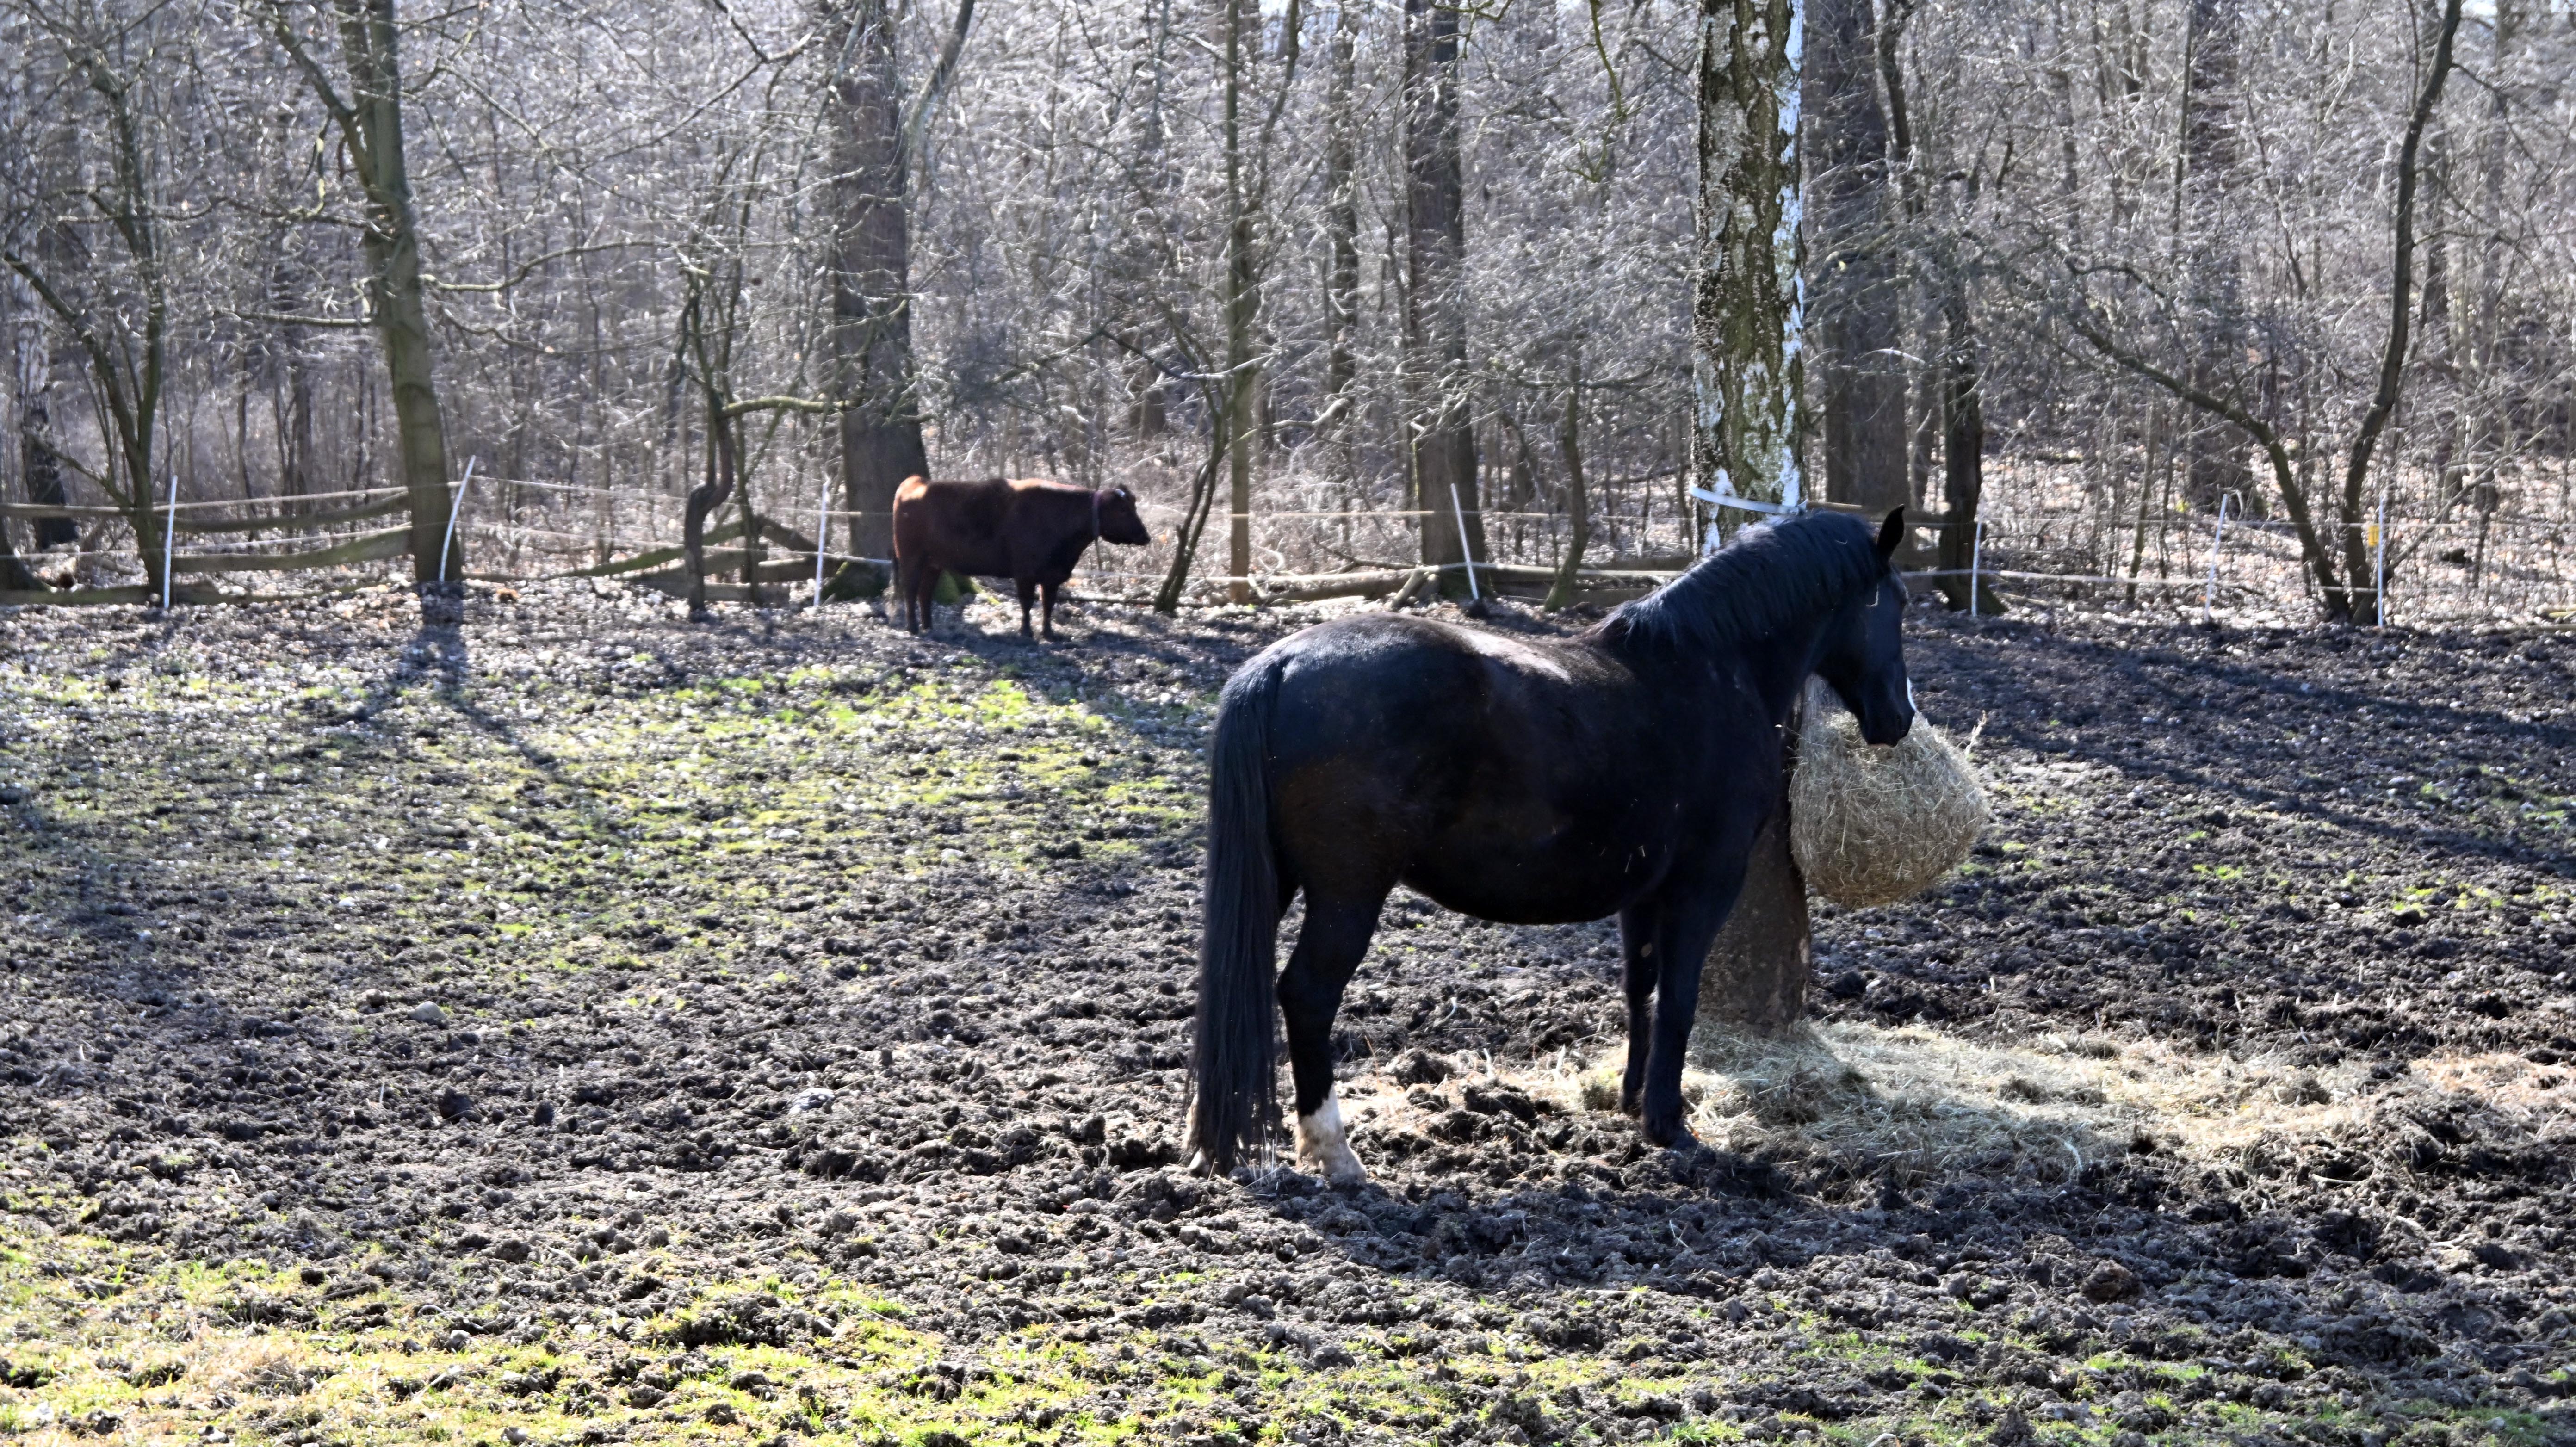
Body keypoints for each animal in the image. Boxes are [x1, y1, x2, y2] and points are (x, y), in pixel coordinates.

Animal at [890, 476, 1152, 640]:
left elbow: (1048, 605)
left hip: (934, 563)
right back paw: (913, 627)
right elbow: (1027, 603)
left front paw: (1049, 634)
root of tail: (916, 482)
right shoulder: (1025, 573)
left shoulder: (1053, 576)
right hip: (911, 557)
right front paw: (1026, 632)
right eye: (1123, 510)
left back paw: (929, 627)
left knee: (925, 593)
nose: (1146, 536)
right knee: (910, 590)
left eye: (1133, 507)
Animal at [1188, 508, 1915, 1182]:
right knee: (1308, 995)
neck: (1711, 668)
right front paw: (1669, 1125)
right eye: (1900, 602)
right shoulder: (1703, 885)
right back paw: (1337, 1154)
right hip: (1348, 892)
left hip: (1277, 881)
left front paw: (1632, 1102)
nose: (1900, 718)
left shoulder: (1643, 895)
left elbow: (1642, 990)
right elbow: (1679, 999)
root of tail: (1280, 665)